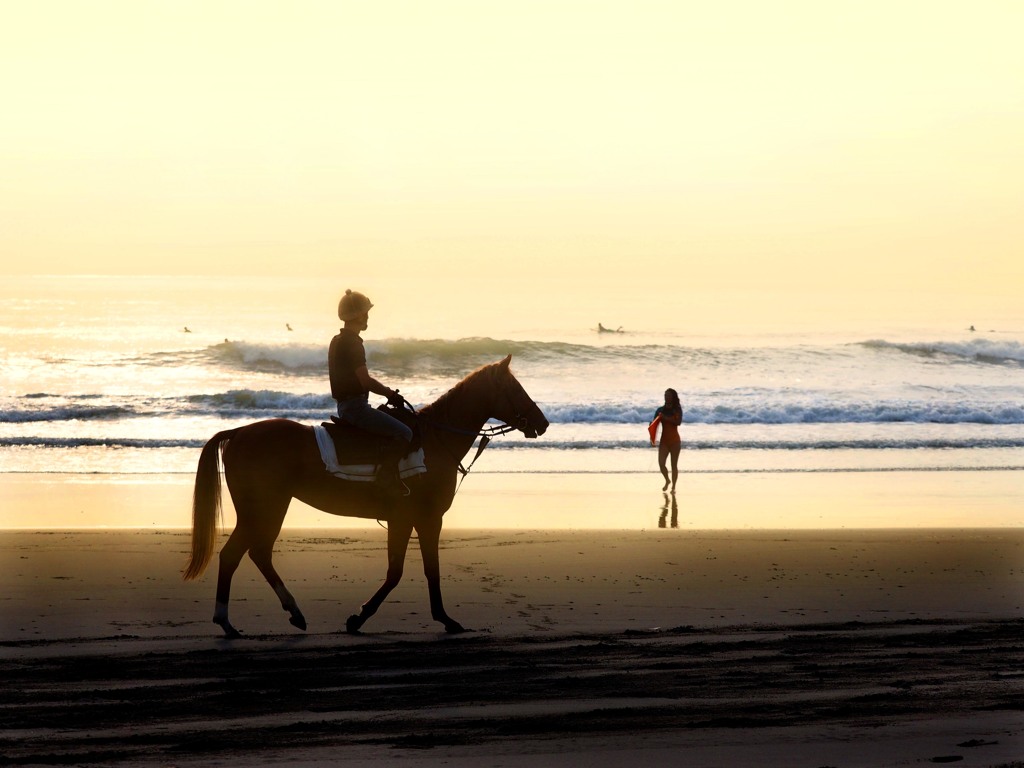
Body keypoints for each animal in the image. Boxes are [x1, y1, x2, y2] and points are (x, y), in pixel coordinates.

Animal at [184, 358, 552, 638]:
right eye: (515, 389)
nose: (543, 423)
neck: (435, 441)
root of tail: (238, 433)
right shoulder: (423, 519)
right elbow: (411, 571)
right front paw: (434, 619)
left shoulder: (407, 520)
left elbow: (405, 571)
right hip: (263, 508)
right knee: (235, 555)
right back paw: (228, 622)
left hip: (270, 507)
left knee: (257, 554)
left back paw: (292, 614)